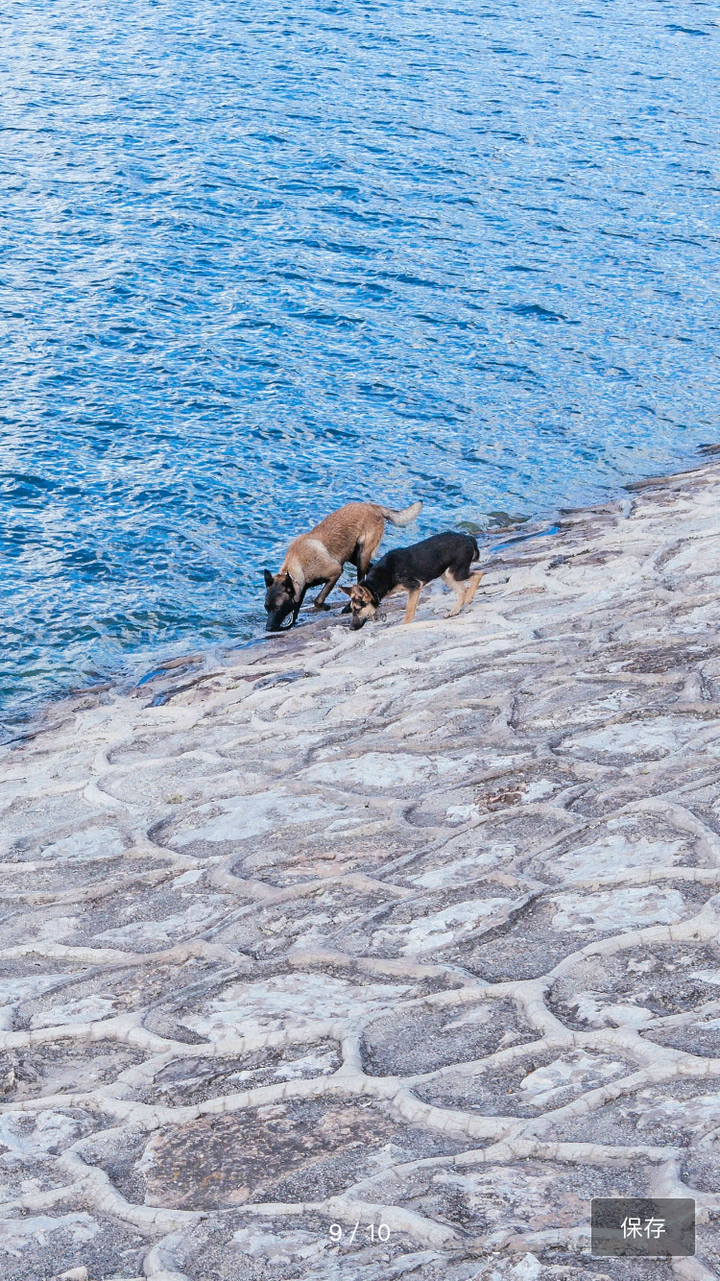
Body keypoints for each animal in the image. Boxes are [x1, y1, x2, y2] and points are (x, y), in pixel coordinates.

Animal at [263, 499, 420, 630]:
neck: (298, 564)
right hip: (353, 557)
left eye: (277, 608)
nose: (268, 629)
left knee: (360, 582)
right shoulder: (301, 588)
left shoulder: (336, 572)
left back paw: (348, 607)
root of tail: (372, 506)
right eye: (266, 608)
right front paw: (290, 624)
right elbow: (296, 608)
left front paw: (326, 607)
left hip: (362, 556)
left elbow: (318, 600)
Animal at [338, 530, 479, 630]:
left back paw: (469, 597)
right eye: (352, 609)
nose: (351, 628)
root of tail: (468, 538)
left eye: (357, 609)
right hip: (447, 575)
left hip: (456, 573)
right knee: (462, 590)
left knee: (478, 574)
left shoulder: (415, 586)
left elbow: (409, 610)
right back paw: (454, 611)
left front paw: (404, 625)